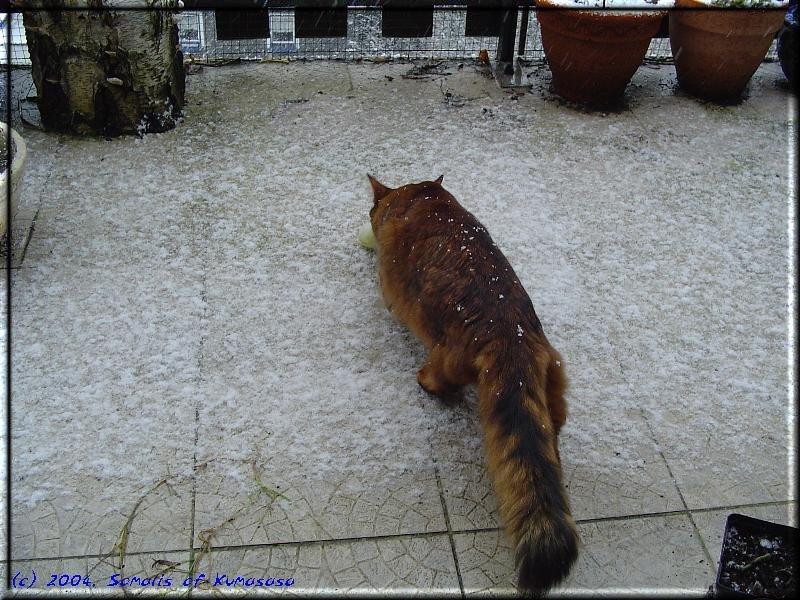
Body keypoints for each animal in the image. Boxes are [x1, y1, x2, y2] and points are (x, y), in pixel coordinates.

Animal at [366, 173, 580, 596]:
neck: (424, 198)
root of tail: (512, 336)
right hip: (552, 384)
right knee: (555, 426)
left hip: (442, 356)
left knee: (438, 381)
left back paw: (425, 383)